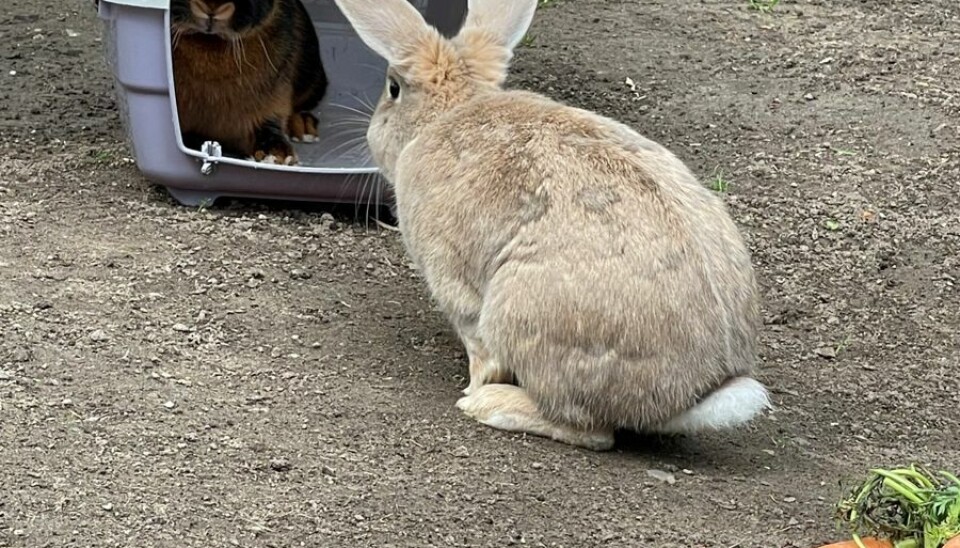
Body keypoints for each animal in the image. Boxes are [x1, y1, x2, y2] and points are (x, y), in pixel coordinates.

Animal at [174, 0, 332, 164]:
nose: (212, 9)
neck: (210, 41)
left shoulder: (273, 101)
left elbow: (268, 125)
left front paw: (278, 157)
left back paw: (304, 127)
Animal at [334, 0, 768, 450]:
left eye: (393, 89)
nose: (369, 133)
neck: (451, 110)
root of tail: (691, 396)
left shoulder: (453, 281)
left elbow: (479, 349)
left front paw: (474, 389)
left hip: (520, 314)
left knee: (591, 430)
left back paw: (489, 405)